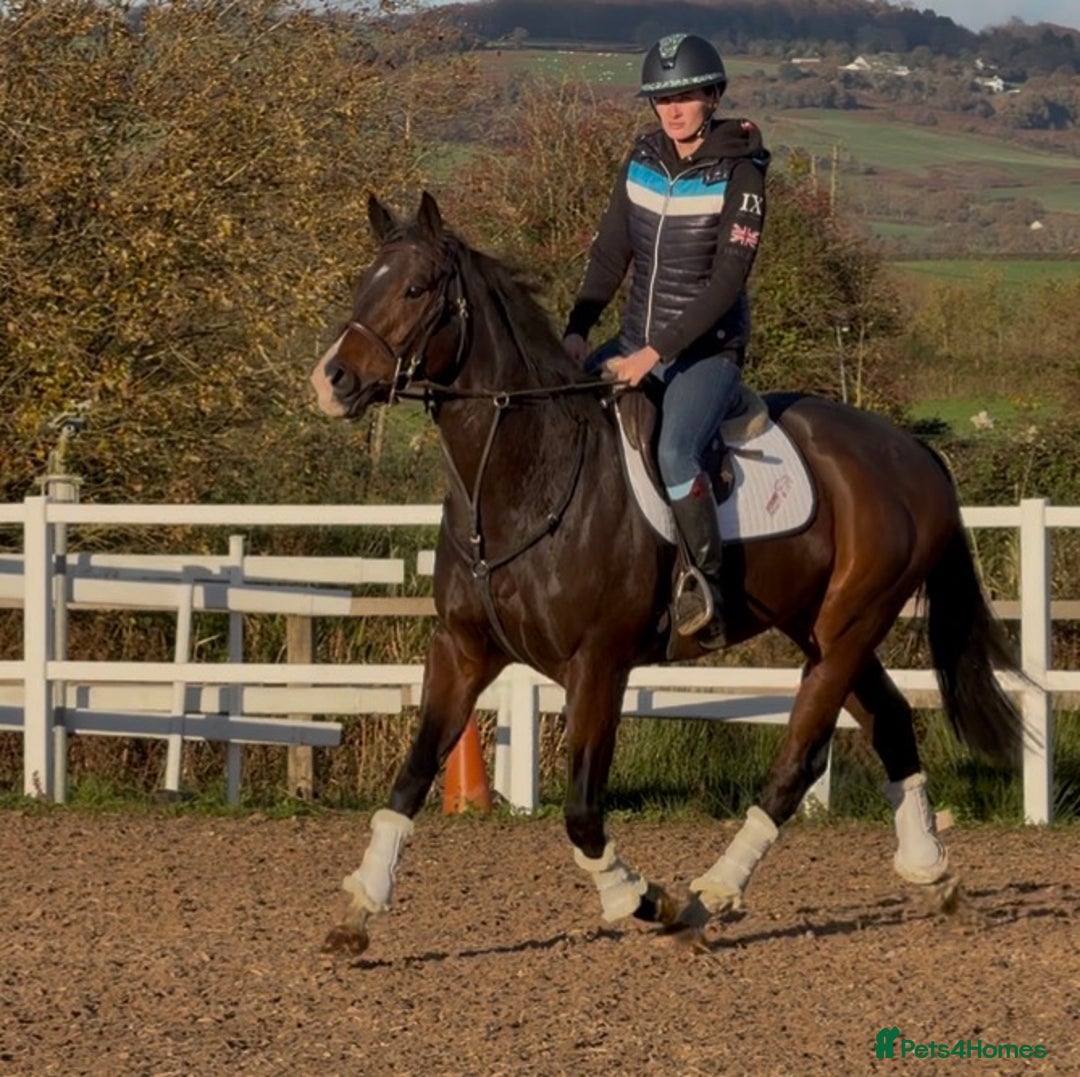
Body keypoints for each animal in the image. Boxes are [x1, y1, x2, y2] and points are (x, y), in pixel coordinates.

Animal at [310, 191, 1023, 955]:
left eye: (416, 289)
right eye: (365, 283)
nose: (332, 380)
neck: (523, 474)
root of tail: (910, 452)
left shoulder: (599, 663)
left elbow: (582, 812)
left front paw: (642, 898)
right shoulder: (461, 650)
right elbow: (413, 773)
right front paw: (359, 908)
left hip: (846, 632)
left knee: (799, 761)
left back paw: (709, 897)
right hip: (818, 629)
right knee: (890, 719)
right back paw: (934, 875)